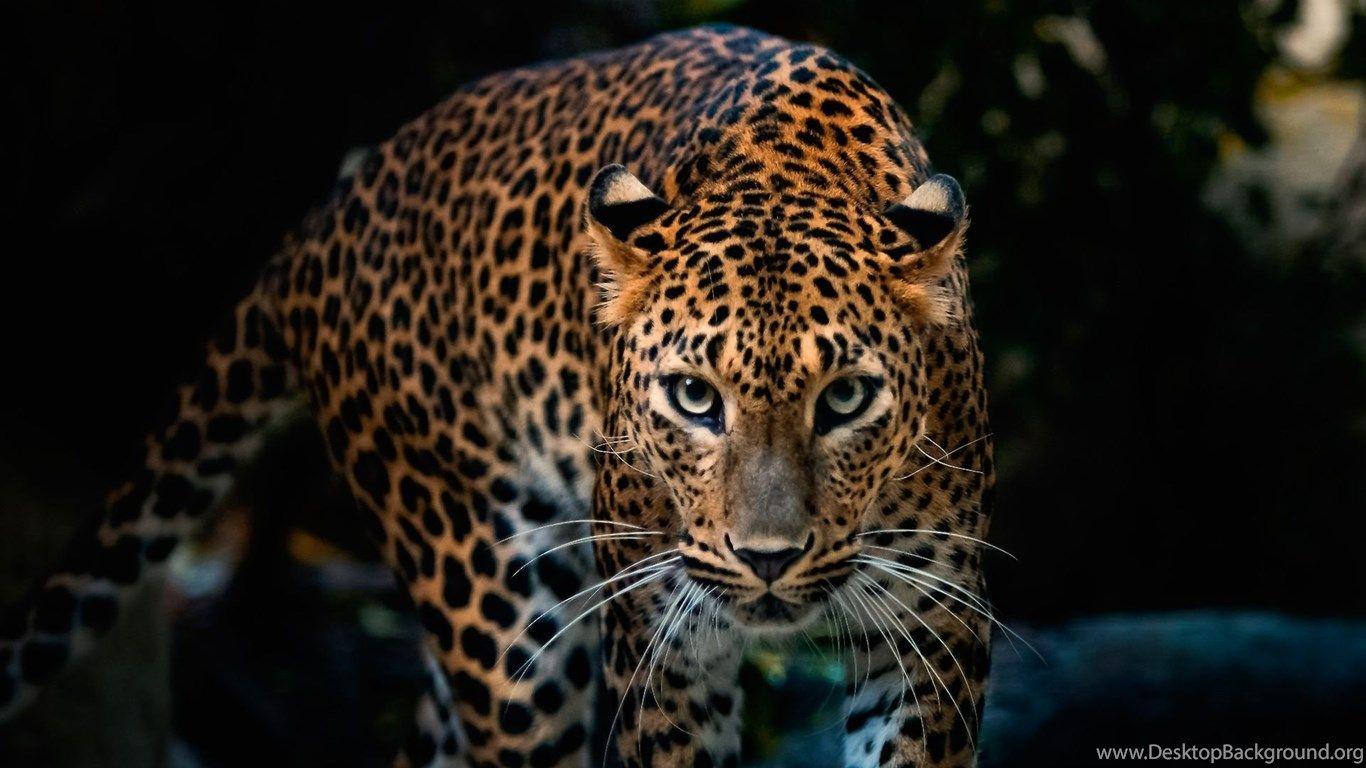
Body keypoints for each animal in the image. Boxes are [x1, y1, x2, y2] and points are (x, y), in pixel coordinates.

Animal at [0, 24, 995, 768]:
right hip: (497, 610)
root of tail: (329, 216)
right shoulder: (662, 646)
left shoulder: (933, 633)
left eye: (846, 399)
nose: (768, 559)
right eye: (693, 398)